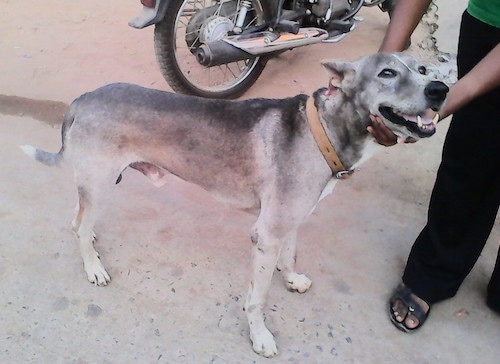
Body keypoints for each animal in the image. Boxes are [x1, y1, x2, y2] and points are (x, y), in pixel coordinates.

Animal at [20, 52, 450, 356]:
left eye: (423, 68)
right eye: (387, 74)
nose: (440, 90)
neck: (323, 130)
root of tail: (83, 98)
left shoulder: (292, 220)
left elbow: (290, 255)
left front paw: (291, 278)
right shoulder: (266, 233)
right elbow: (257, 299)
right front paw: (259, 337)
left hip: (95, 182)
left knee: (78, 219)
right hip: (101, 180)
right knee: (80, 224)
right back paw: (93, 266)